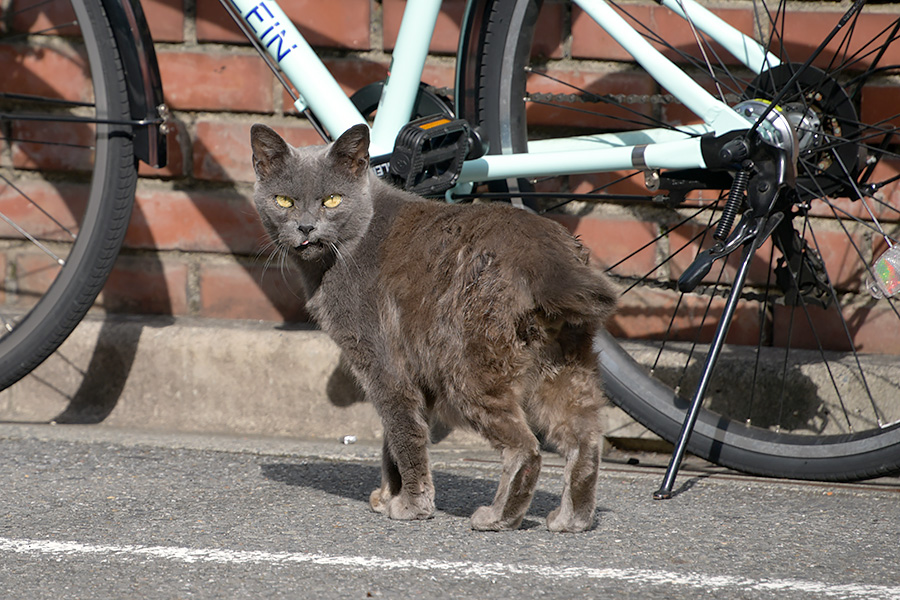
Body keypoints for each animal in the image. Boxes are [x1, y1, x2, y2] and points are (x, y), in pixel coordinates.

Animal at [251, 124, 620, 532]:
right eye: (283, 201)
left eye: (331, 200)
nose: (305, 226)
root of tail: (550, 258)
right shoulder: (414, 371)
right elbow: (392, 442)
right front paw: (388, 497)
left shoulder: (381, 364)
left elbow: (405, 435)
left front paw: (412, 506)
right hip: (565, 363)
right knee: (584, 441)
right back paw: (572, 519)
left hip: (468, 371)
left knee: (525, 448)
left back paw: (498, 517)